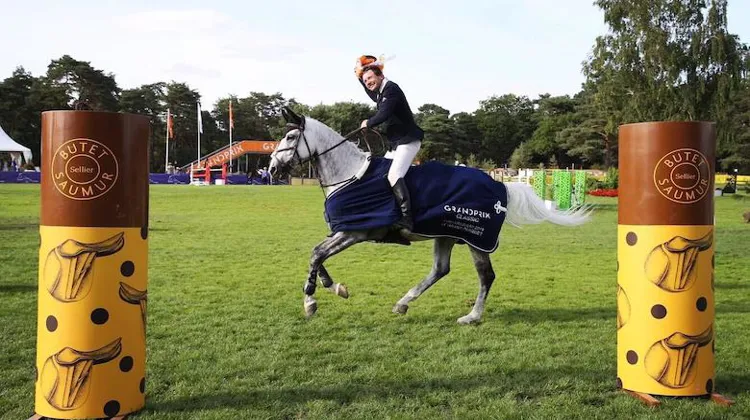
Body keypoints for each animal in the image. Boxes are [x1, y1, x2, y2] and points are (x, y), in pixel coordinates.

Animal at [269, 106, 592, 324]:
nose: (272, 169)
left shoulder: (353, 232)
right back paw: (403, 303)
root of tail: (500, 184)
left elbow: (316, 254)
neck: (349, 175)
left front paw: (311, 301)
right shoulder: (342, 231)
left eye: (290, 136)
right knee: (440, 269)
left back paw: (471, 316)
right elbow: (317, 254)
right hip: (446, 235)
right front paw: (335, 287)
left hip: (476, 240)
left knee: (485, 275)